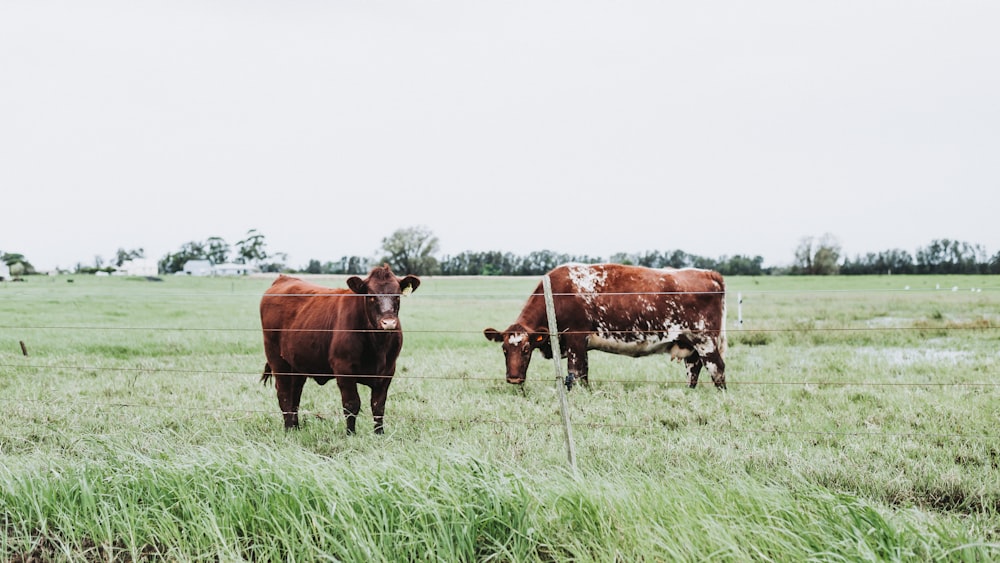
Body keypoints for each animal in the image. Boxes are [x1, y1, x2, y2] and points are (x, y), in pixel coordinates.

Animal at [260, 266, 420, 434]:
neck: (378, 345)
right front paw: (351, 434)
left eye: (397, 295)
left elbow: (378, 406)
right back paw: (289, 429)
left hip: (297, 364)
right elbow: (351, 404)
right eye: (370, 295)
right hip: (277, 359)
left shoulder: (388, 371)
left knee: (295, 395)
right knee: (284, 394)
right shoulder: (344, 368)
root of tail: (283, 279)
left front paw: (379, 433)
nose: (388, 322)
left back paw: (296, 427)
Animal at [484, 264, 728, 388]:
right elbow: (583, 373)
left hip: (705, 340)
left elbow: (575, 373)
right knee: (693, 369)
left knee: (717, 369)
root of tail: (709, 273)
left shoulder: (575, 337)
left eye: (526, 350)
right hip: (690, 344)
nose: (513, 378)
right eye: (504, 349)